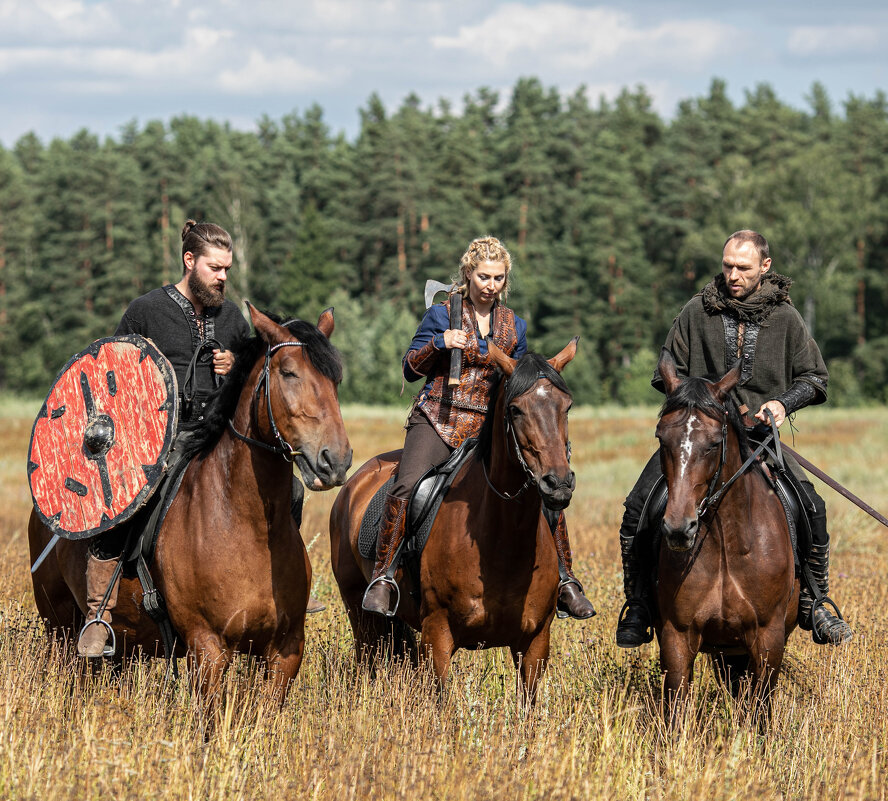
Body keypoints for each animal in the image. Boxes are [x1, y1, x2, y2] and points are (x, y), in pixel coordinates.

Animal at [25, 304, 350, 704]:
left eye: (334, 379)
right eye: (288, 372)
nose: (335, 461)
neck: (246, 524)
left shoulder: (284, 651)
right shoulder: (207, 648)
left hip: (123, 648)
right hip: (59, 630)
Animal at [330, 338, 580, 700]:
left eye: (567, 407)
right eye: (515, 409)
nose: (558, 483)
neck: (503, 541)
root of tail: (353, 484)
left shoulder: (534, 642)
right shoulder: (437, 637)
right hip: (358, 611)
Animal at [652, 350, 796, 720]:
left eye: (715, 443)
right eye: (661, 437)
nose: (678, 529)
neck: (726, 544)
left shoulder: (768, 638)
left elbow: (760, 711)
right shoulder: (677, 635)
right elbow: (677, 709)